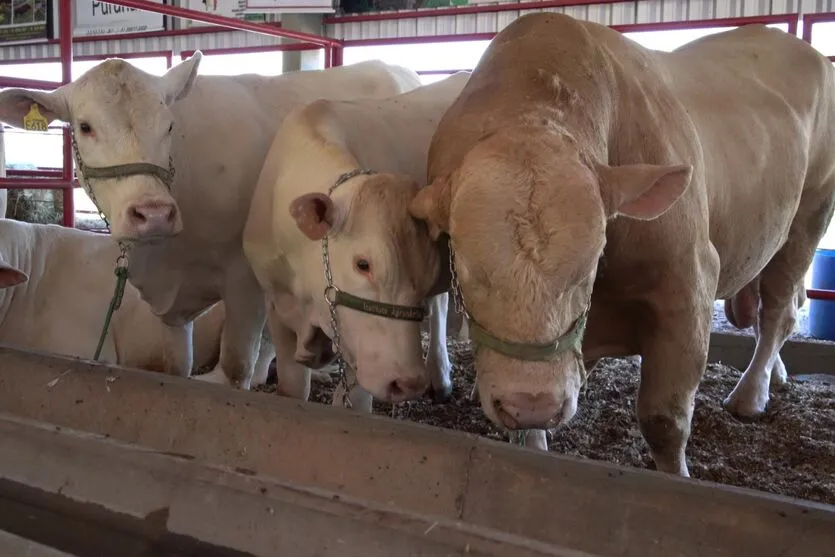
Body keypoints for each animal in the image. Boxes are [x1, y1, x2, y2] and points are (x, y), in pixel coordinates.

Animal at [0, 54, 422, 388]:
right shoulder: (167, 300)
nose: (153, 213)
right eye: (85, 126)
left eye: (169, 125)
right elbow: (176, 366)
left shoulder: (244, 280)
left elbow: (236, 366)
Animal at [410, 13, 835, 474]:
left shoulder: (688, 285)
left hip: (810, 214)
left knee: (778, 310)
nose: (532, 401)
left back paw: (751, 394)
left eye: (592, 263)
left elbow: (664, 420)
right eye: (466, 267)